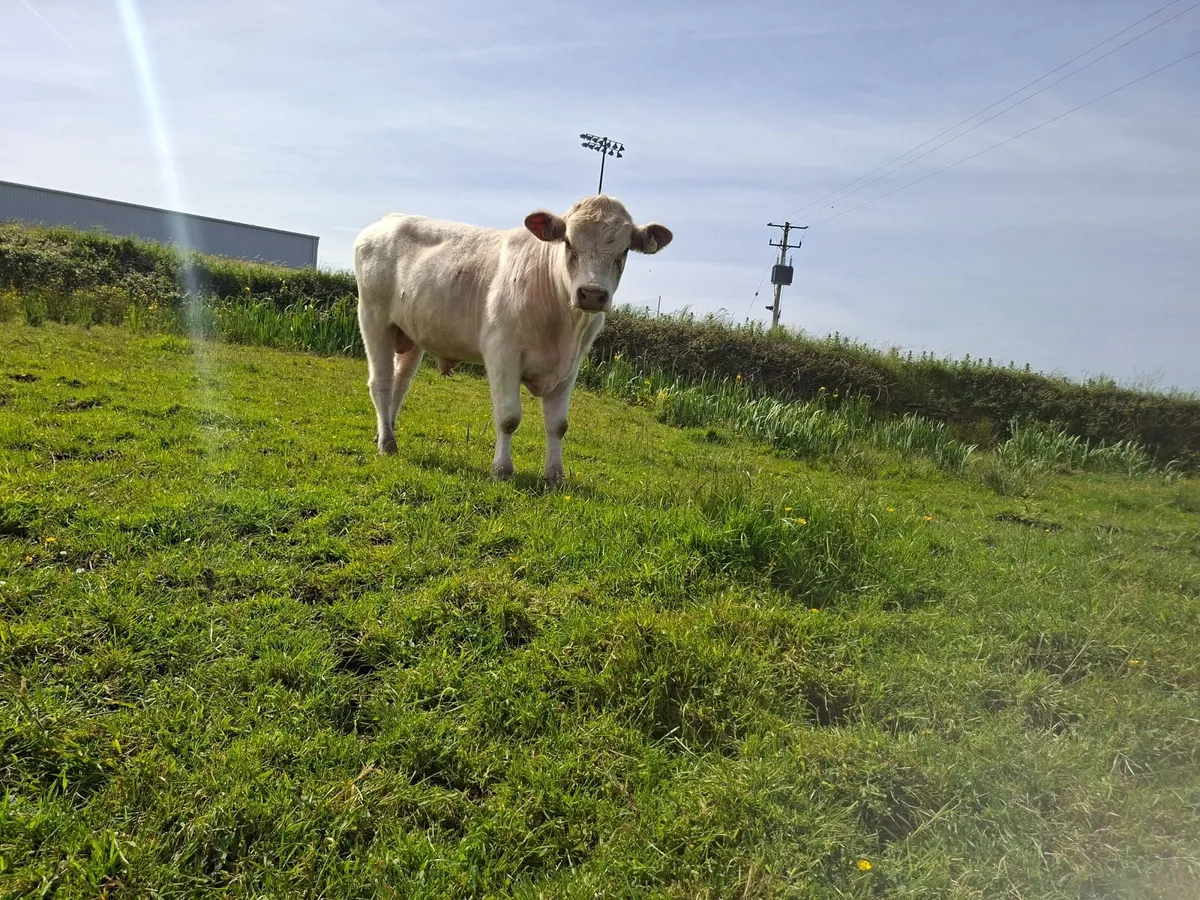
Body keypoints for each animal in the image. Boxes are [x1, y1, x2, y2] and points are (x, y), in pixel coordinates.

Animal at [352, 194, 672, 485]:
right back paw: (387, 444)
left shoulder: (571, 366)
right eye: (569, 243)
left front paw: (555, 476)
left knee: (399, 383)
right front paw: (502, 470)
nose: (592, 293)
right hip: (374, 318)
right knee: (381, 383)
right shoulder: (502, 354)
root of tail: (388, 220)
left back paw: (385, 431)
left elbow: (558, 425)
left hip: (410, 333)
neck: (562, 325)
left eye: (625, 250)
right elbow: (508, 418)